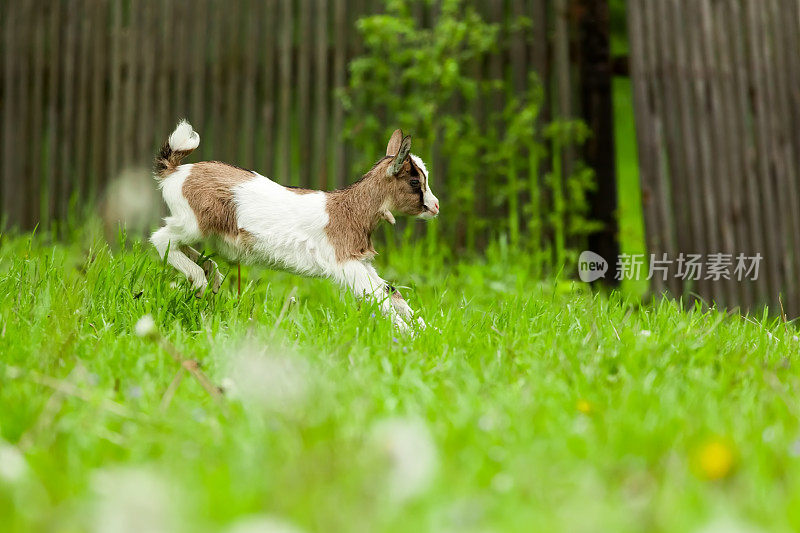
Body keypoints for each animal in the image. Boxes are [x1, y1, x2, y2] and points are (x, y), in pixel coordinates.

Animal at [150, 118, 438, 330]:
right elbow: (378, 297)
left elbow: (390, 291)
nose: (435, 207)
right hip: (193, 223)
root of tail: (175, 172)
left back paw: (212, 275)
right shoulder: (346, 263)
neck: (350, 209)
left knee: (178, 246)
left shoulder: (360, 261)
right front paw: (409, 334)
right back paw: (199, 280)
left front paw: (427, 330)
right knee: (161, 239)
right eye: (415, 182)